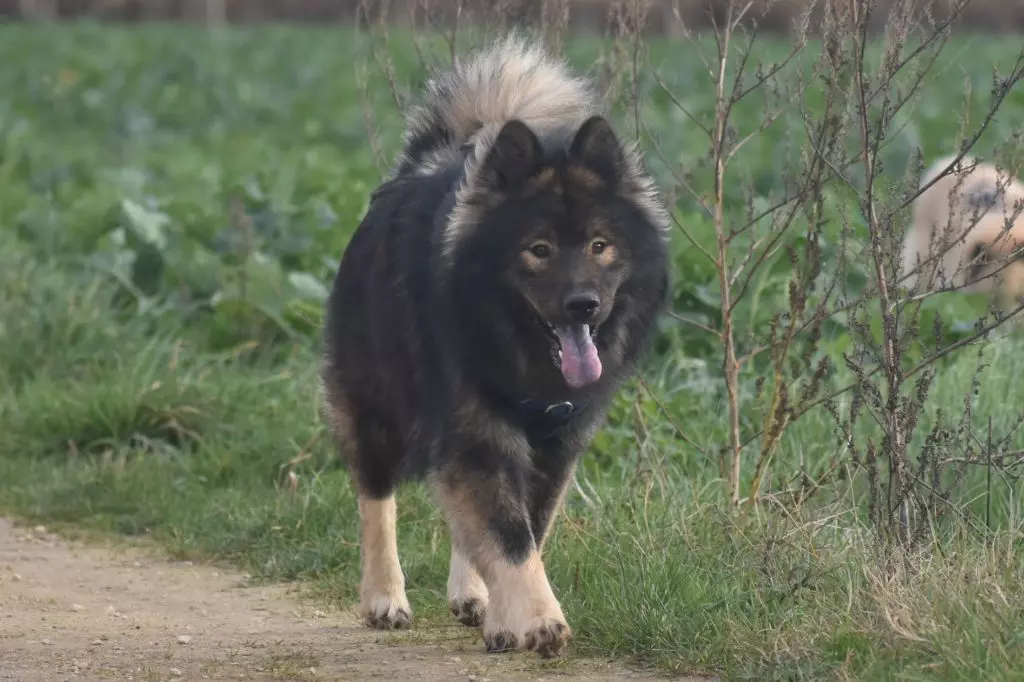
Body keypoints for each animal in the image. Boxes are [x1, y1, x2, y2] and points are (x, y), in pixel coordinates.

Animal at [319, 34, 671, 655]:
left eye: (599, 245)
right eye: (539, 250)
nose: (583, 304)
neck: (519, 357)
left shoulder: (554, 444)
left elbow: (523, 526)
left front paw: (509, 617)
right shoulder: (477, 431)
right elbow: (509, 535)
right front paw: (540, 619)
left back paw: (475, 599)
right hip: (374, 405)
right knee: (376, 497)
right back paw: (385, 596)